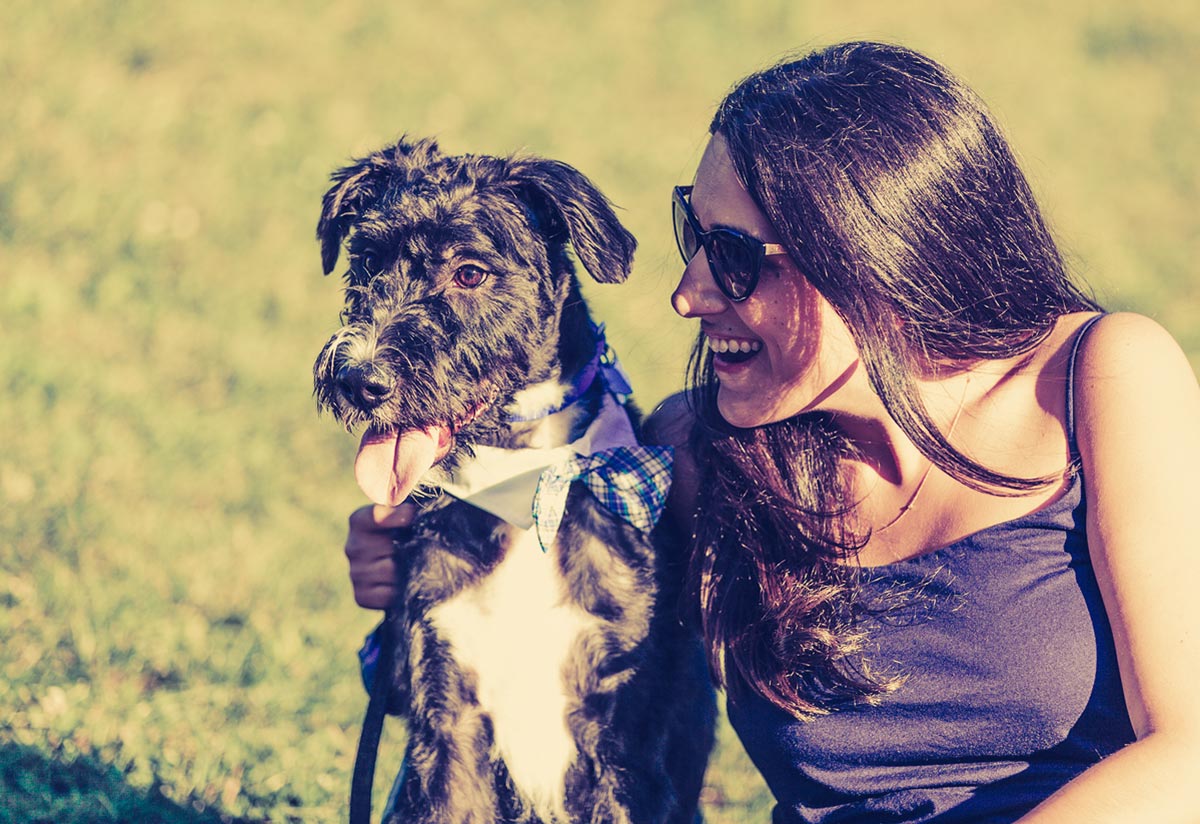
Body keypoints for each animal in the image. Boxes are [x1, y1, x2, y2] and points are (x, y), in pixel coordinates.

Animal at [314, 135, 715, 824]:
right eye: (365, 261)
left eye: (470, 273)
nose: (358, 380)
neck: (522, 487)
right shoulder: (447, 709)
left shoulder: (626, 738)